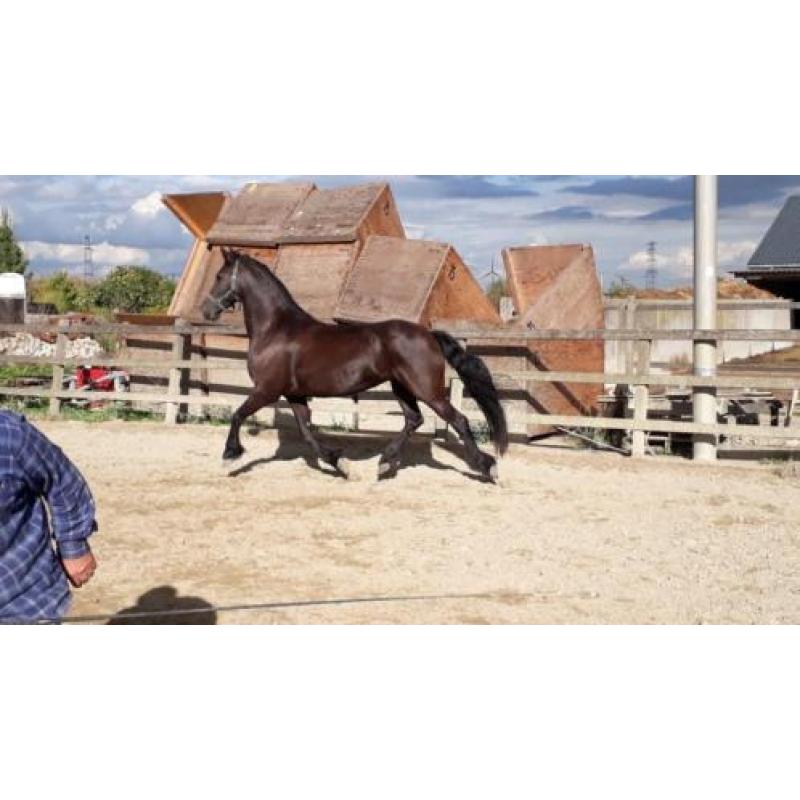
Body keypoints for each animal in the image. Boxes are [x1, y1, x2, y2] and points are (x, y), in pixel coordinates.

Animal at [203, 247, 510, 478]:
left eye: (219, 276)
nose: (206, 310)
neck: (277, 329)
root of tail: (428, 334)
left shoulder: (267, 390)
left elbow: (238, 414)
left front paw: (229, 454)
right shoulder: (294, 394)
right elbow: (306, 432)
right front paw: (339, 463)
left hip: (427, 391)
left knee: (458, 420)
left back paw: (488, 468)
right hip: (401, 387)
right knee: (414, 419)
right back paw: (385, 462)